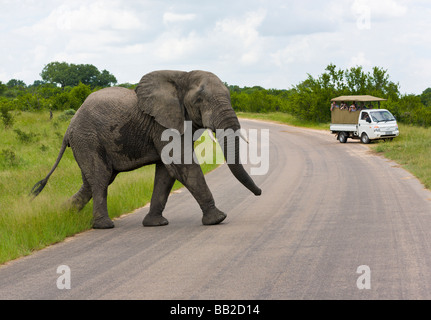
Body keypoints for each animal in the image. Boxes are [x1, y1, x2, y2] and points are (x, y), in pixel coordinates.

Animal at [30, 70, 262, 230]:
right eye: (199, 101)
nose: (260, 192)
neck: (182, 76)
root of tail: (69, 127)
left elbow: (167, 172)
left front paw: (155, 224)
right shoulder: (161, 124)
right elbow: (182, 165)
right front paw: (218, 219)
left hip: (87, 141)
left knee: (93, 181)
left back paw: (61, 215)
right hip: (87, 139)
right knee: (100, 178)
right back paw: (104, 226)